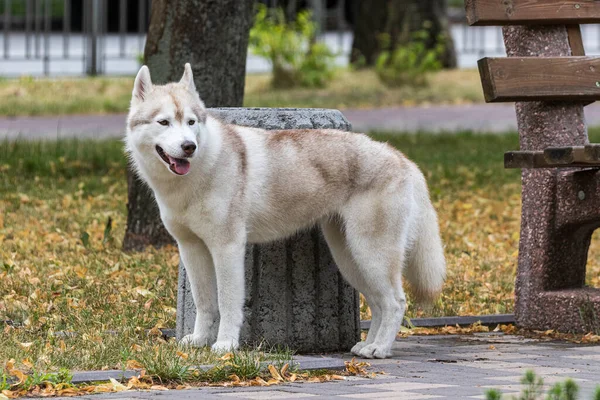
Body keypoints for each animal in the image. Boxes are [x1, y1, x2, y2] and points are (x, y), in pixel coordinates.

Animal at [125, 63, 446, 360]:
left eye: (191, 122)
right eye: (164, 122)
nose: (188, 146)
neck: (196, 174)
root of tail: (400, 156)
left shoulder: (227, 247)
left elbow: (227, 303)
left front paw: (225, 345)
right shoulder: (192, 248)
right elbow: (205, 303)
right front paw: (199, 340)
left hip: (371, 254)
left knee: (395, 302)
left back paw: (380, 349)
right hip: (350, 258)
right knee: (379, 302)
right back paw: (366, 345)